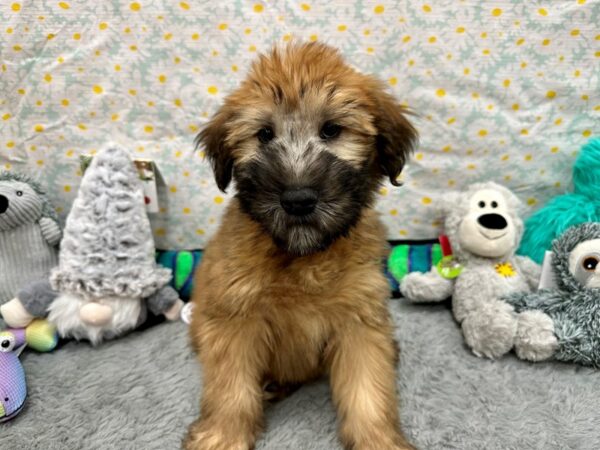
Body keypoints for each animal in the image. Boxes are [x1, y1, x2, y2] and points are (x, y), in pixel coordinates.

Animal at [184, 42, 418, 450]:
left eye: (332, 130)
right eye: (264, 134)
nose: (297, 200)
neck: (301, 256)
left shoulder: (358, 319)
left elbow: (368, 392)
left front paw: (379, 440)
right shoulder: (235, 318)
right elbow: (230, 388)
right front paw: (222, 436)